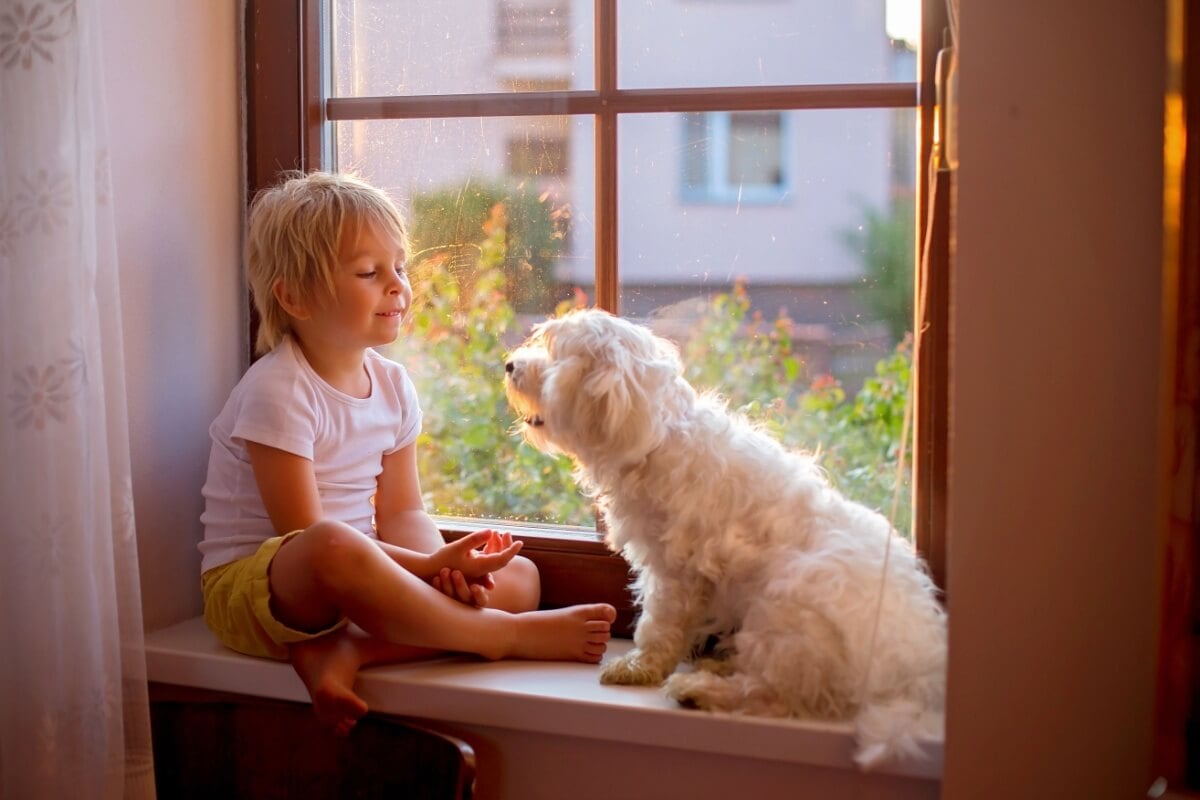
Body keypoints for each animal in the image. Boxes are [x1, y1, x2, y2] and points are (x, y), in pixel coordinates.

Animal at [504, 309, 945, 767]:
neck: (656, 438)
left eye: (554, 355)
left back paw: (698, 689)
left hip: (783, 608)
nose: (510, 365)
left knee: (772, 695)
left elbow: (659, 624)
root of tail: (911, 674)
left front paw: (638, 667)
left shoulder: (673, 571)